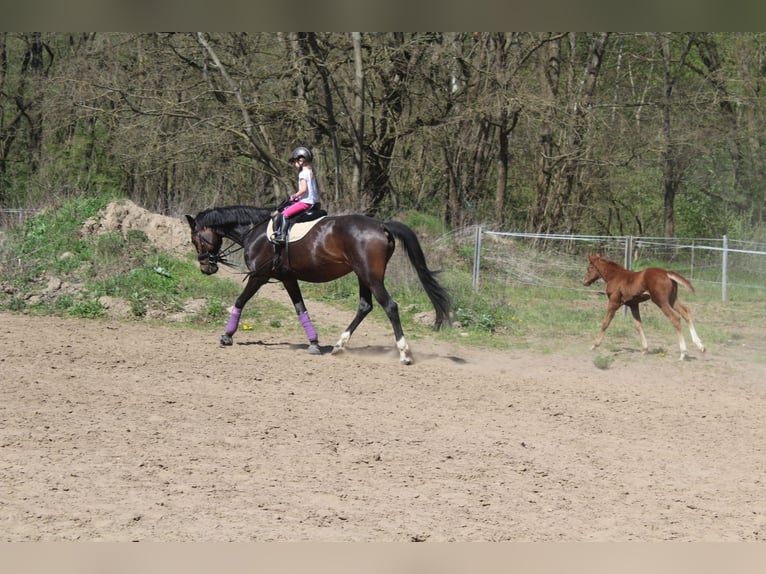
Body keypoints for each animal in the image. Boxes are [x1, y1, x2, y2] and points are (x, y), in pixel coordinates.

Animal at [185, 206, 450, 364]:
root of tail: (381, 225)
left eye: (195, 239)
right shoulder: (288, 278)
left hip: (371, 277)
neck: (256, 232)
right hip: (362, 276)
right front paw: (313, 343)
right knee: (365, 306)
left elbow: (240, 301)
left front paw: (227, 336)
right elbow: (300, 308)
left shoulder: (258, 276)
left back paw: (404, 353)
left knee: (390, 306)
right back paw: (339, 346)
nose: (206, 268)